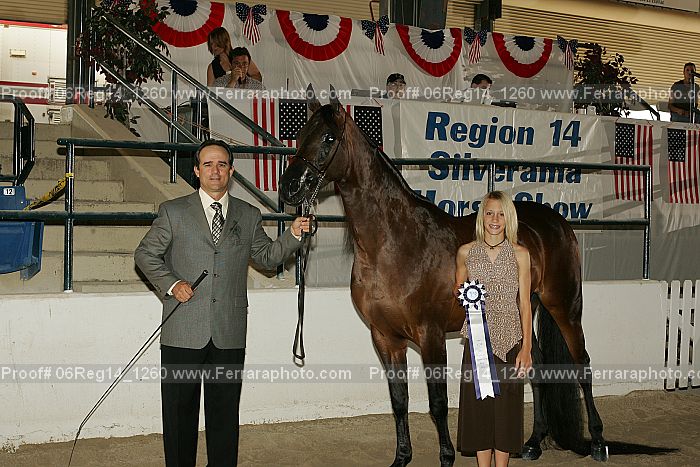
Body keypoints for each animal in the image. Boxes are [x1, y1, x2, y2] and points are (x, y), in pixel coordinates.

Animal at [279, 92, 608, 466]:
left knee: (582, 363)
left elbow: (437, 404)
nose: (289, 187)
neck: (396, 243)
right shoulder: (385, 338)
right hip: (526, 308)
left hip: (564, 305)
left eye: (328, 138)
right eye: (301, 133)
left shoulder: (430, 335)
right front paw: (401, 458)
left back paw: (598, 442)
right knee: (534, 365)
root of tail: (557, 223)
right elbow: (399, 401)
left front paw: (447, 456)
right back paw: (532, 443)